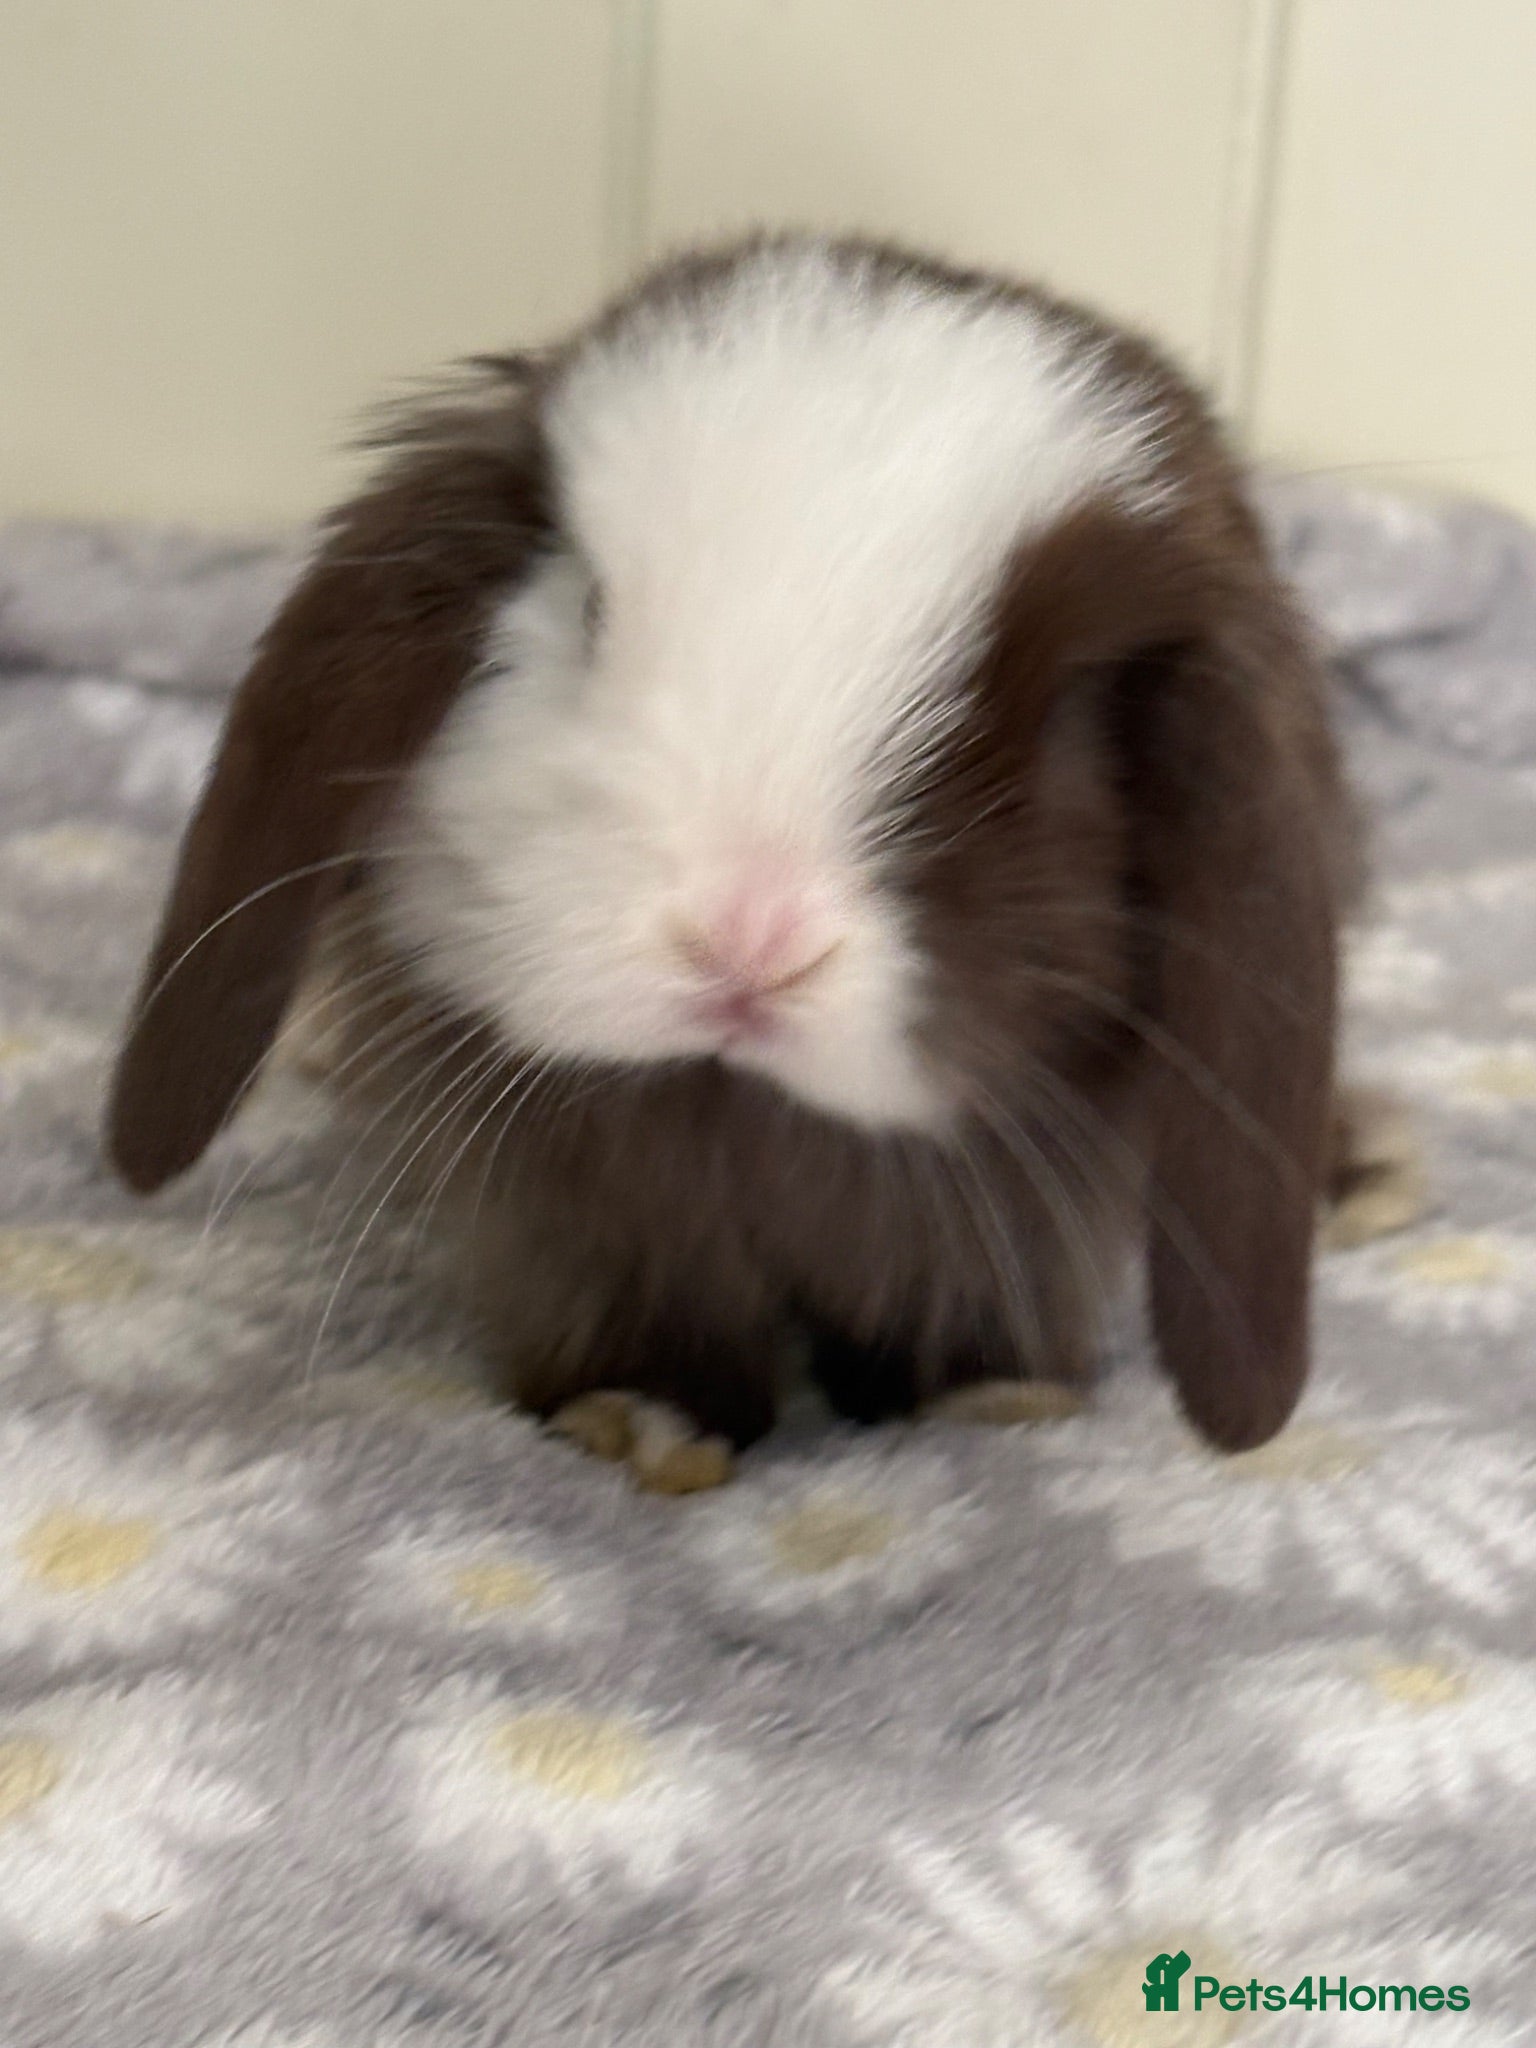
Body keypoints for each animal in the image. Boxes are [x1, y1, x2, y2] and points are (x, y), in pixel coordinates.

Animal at [107, 233, 1354, 1490]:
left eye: (1057, 713)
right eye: (588, 608)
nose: (748, 940)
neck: (744, 1107)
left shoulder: (1021, 1208)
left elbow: (974, 1299)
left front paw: (993, 1406)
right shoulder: (592, 1218)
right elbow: (646, 1314)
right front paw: (638, 1420)